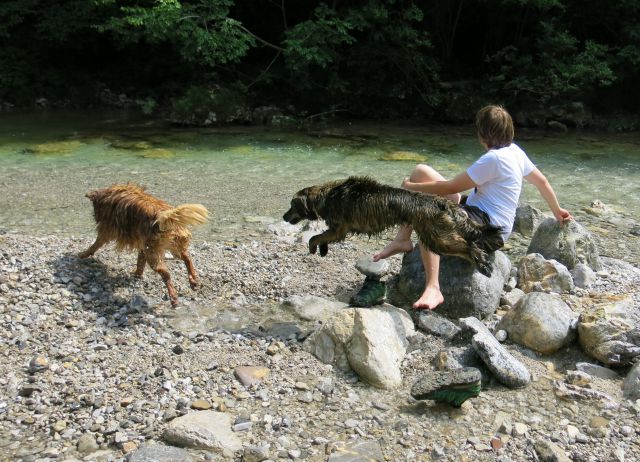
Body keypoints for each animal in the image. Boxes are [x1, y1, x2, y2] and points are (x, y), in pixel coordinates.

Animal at [79, 184, 210, 306]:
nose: (94, 216)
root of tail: (164, 216)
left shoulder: (106, 231)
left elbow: (95, 244)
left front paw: (83, 254)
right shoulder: (143, 245)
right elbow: (140, 262)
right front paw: (137, 274)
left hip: (154, 252)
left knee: (166, 273)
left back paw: (173, 297)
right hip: (173, 246)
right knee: (187, 258)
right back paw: (193, 280)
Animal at [284, 177, 504, 276]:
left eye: (292, 205)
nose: (284, 217)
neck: (327, 196)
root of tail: (441, 203)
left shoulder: (339, 228)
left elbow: (316, 237)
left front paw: (314, 247)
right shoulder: (337, 230)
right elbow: (322, 238)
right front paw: (322, 250)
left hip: (436, 238)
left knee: (468, 246)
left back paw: (483, 263)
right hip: (437, 236)